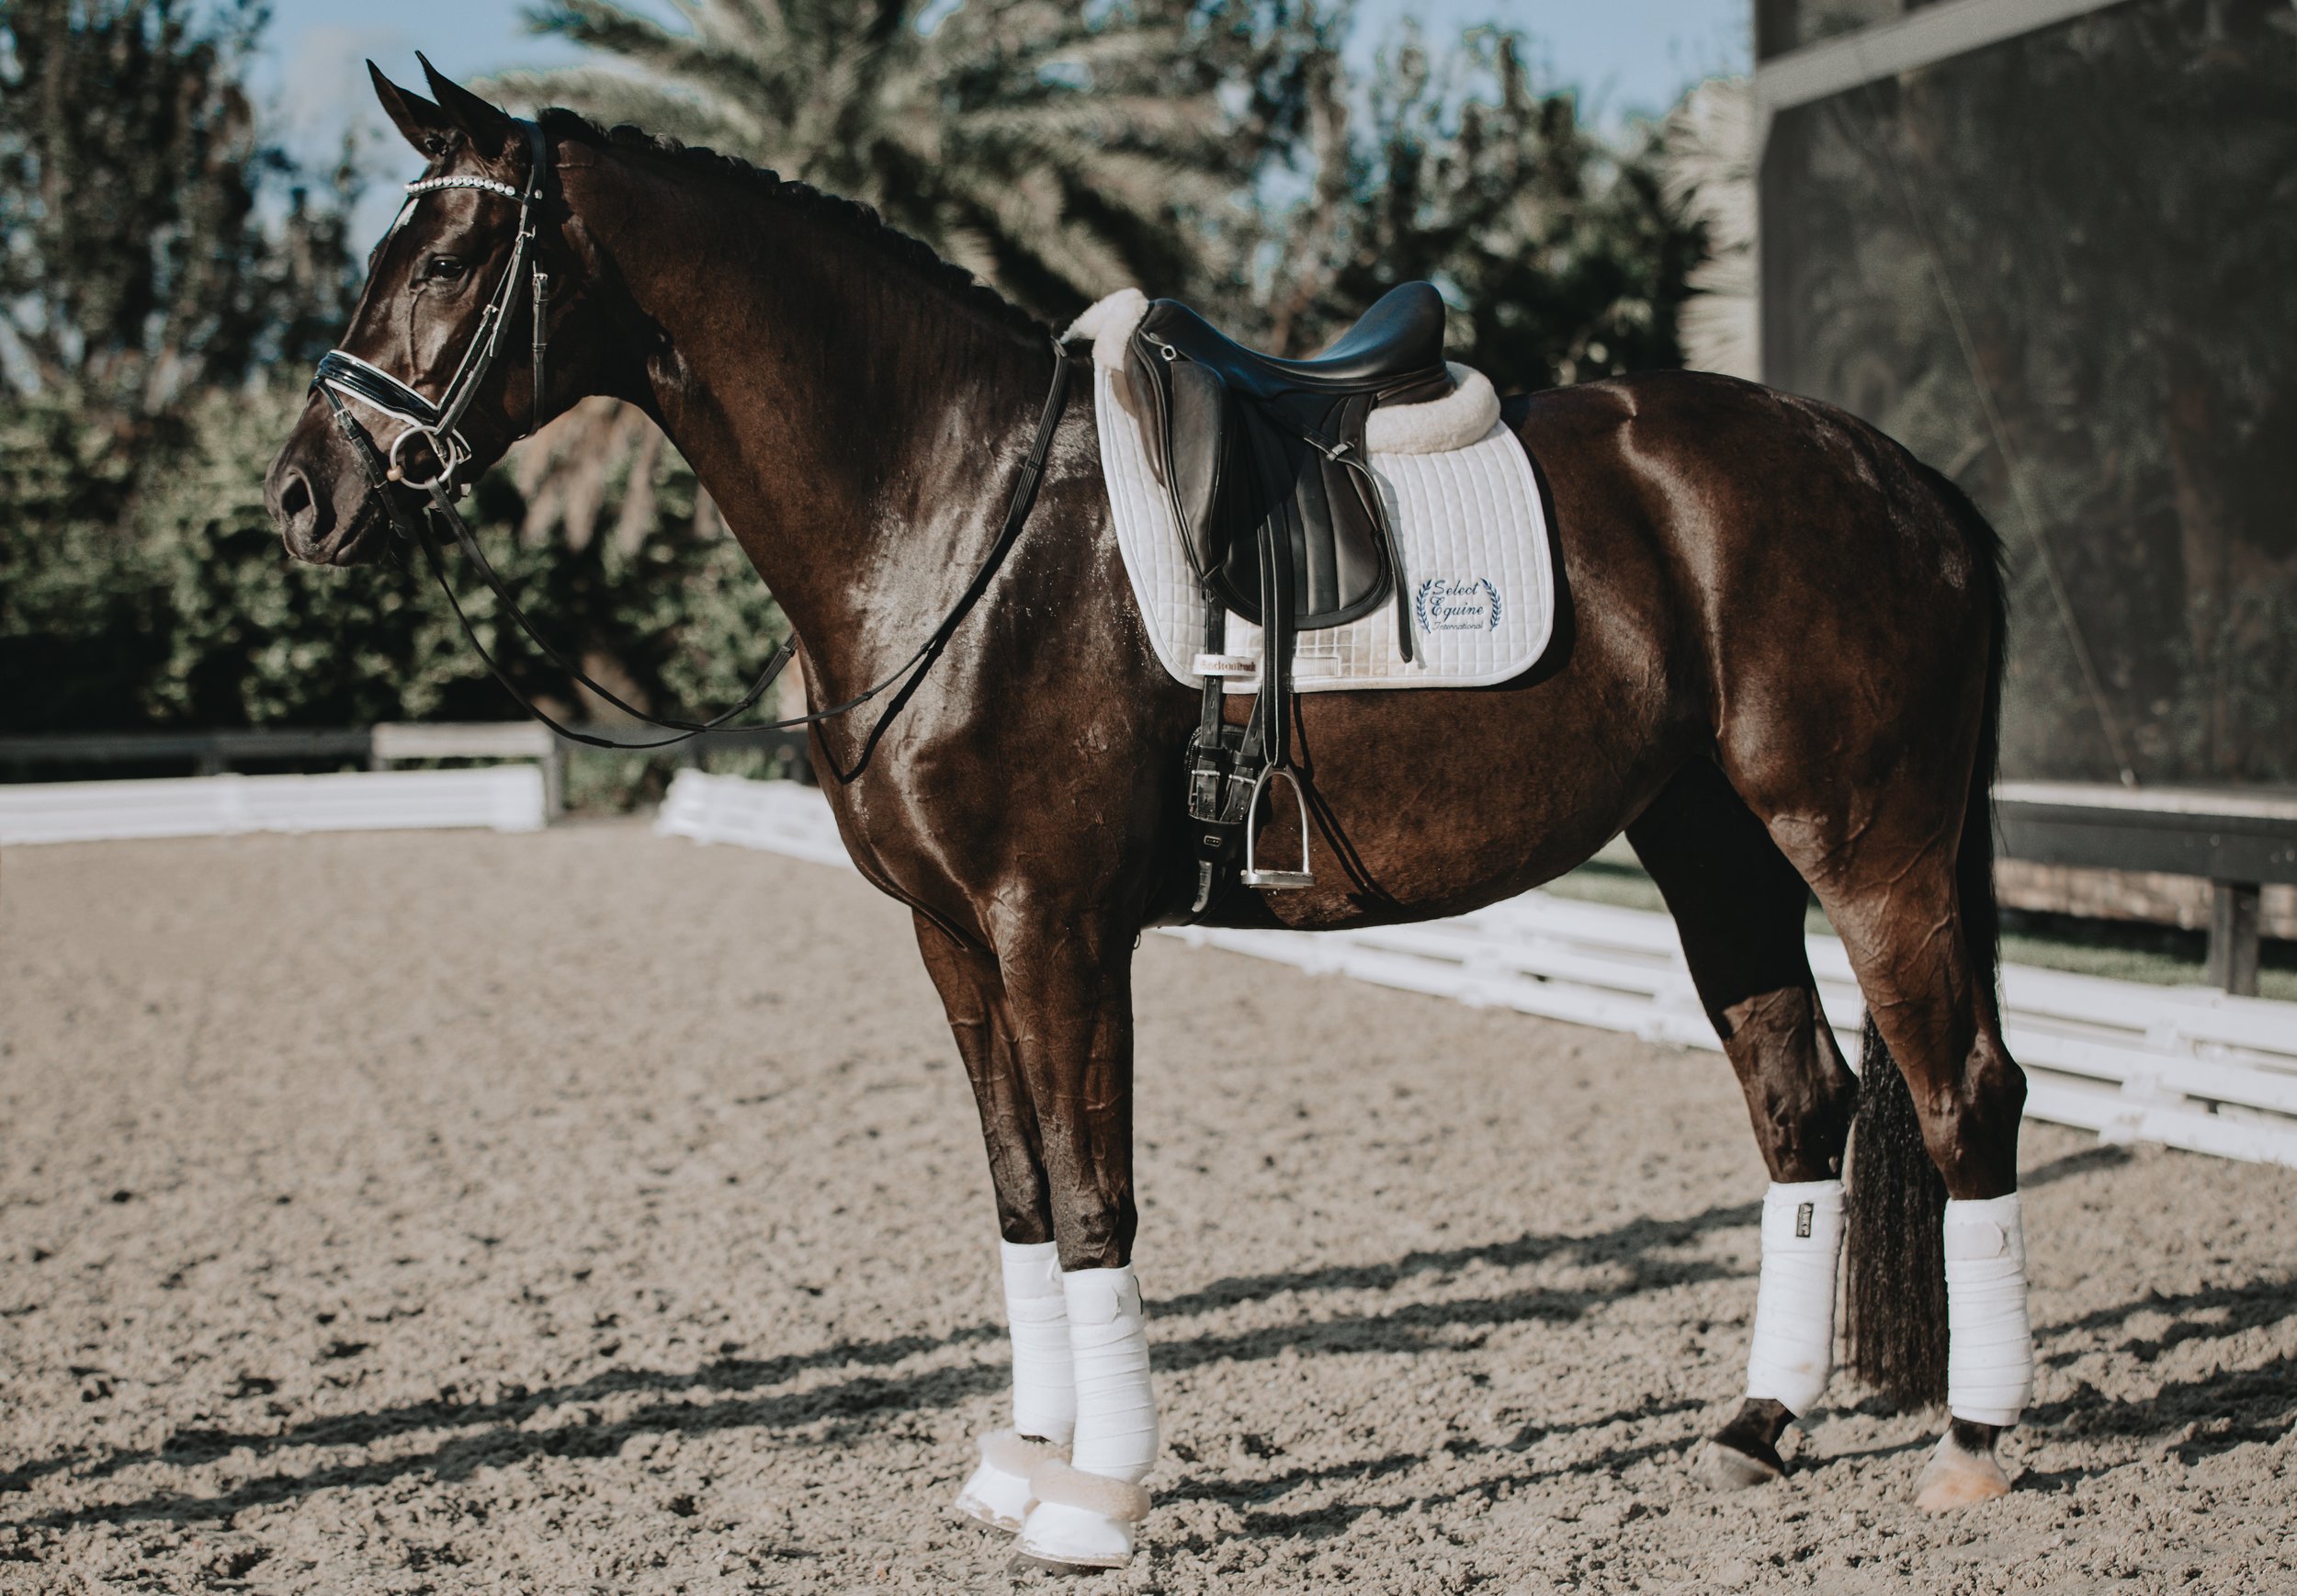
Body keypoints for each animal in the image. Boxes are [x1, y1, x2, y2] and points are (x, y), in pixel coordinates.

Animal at [264, 62, 2034, 1568]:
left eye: (448, 258)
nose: (302, 495)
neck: (950, 510)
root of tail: (1913, 483)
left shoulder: (1055, 926)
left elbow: (1096, 1195)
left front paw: (1100, 1497)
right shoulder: (953, 938)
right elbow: (1023, 1194)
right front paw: (1028, 1461)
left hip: (1867, 847)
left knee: (1965, 1095)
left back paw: (1974, 1444)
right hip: (1714, 845)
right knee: (1803, 1100)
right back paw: (1760, 1424)